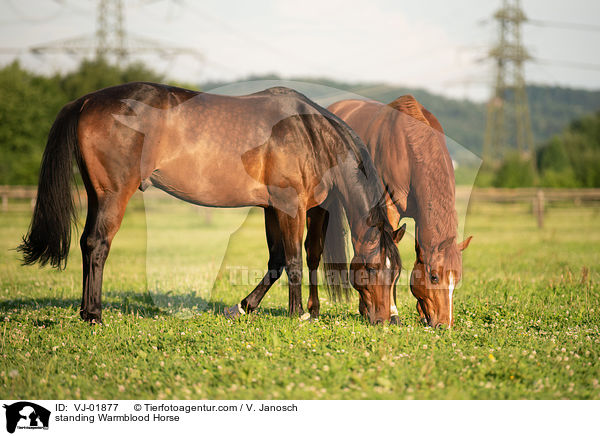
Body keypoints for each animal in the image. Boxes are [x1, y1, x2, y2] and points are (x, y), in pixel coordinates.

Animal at [18, 83, 400, 326]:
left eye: (396, 272)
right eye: (372, 269)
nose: (385, 320)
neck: (307, 133)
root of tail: (85, 101)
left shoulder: (271, 208)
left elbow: (283, 260)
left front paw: (245, 307)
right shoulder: (289, 206)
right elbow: (292, 260)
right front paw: (296, 315)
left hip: (97, 195)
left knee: (87, 243)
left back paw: (86, 311)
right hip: (114, 194)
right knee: (98, 244)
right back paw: (95, 315)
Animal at [322, 95, 472, 328]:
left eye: (456, 278)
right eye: (434, 277)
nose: (444, 324)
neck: (408, 147)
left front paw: (421, 314)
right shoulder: (388, 210)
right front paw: (392, 313)